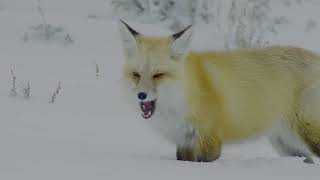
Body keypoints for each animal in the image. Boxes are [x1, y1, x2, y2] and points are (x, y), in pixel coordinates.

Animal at [118, 20, 320, 163]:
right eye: (136, 75)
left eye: (158, 75)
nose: (141, 95)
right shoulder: (184, 142)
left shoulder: (209, 140)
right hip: (286, 144)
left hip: (307, 133)